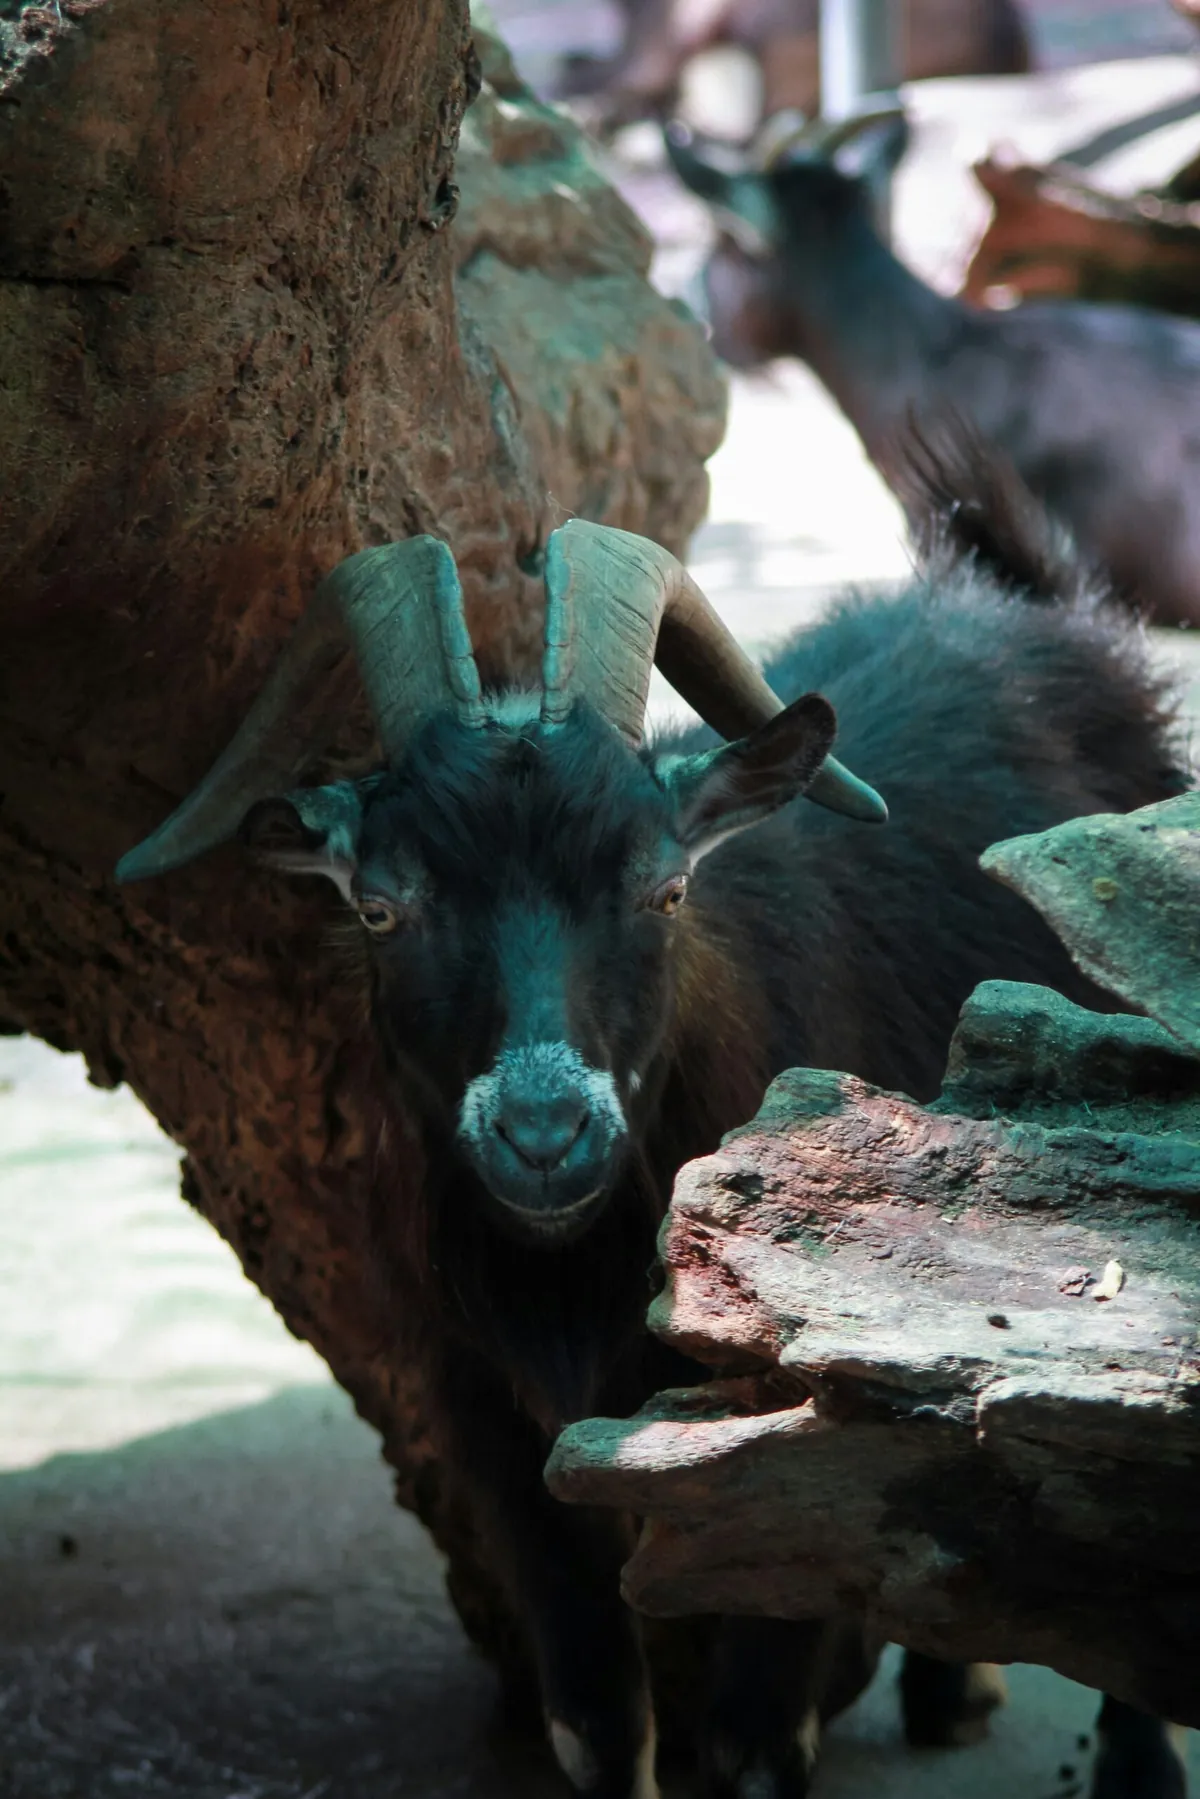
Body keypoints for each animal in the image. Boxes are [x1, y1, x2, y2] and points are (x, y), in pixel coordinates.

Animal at [118, 440, 1187, 1799]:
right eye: (380, 905)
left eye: (665, 886)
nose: (543, 1136)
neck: (580, 1274)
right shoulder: (485, 1409)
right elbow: (595, 1714)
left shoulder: (798, 1421)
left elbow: (758, 1730)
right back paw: (954, 1689)